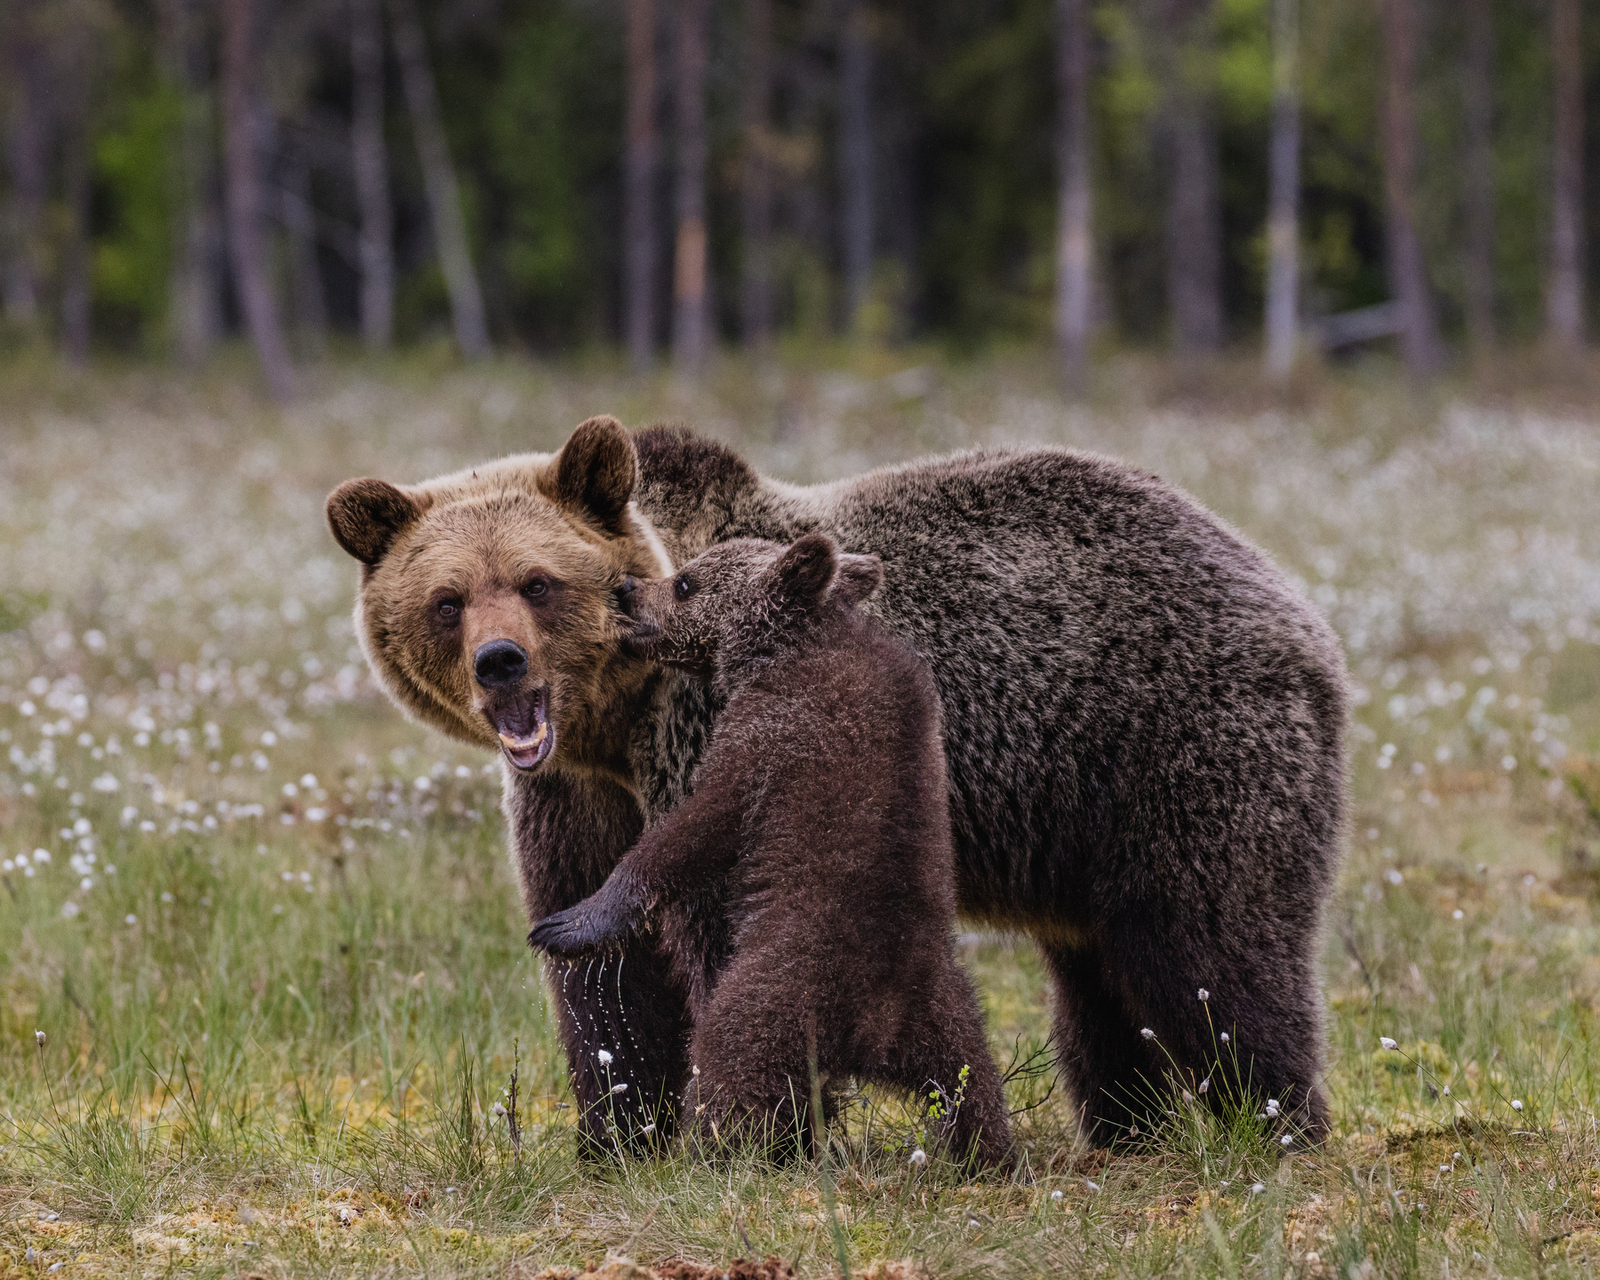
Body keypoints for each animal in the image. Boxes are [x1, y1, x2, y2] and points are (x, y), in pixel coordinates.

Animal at [328, 416, 1350, 1152]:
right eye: (447, 600)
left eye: (538, 582)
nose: (499, 663)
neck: (614, 725)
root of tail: (1289, 597)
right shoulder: (576, 801)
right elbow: (606, 980)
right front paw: (619, 1132)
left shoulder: (702, 741)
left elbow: (720, 915)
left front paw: (763, 1130)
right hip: (1078, 824)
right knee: (1098, 982)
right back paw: (1127, 1128)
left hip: (1174, 746)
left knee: (1210, 951)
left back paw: (1275, 1122)